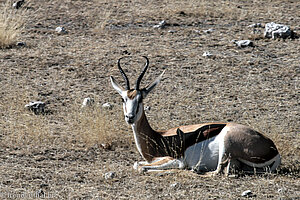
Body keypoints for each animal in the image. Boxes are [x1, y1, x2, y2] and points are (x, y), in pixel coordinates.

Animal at [110, 56, 282, 175]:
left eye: (140, 99)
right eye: (123, 98)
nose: (130, 117)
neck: (159, 137)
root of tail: (273, 149)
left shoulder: (172, 158)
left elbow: (139, 166)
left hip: (226, 145)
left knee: (218, 173)